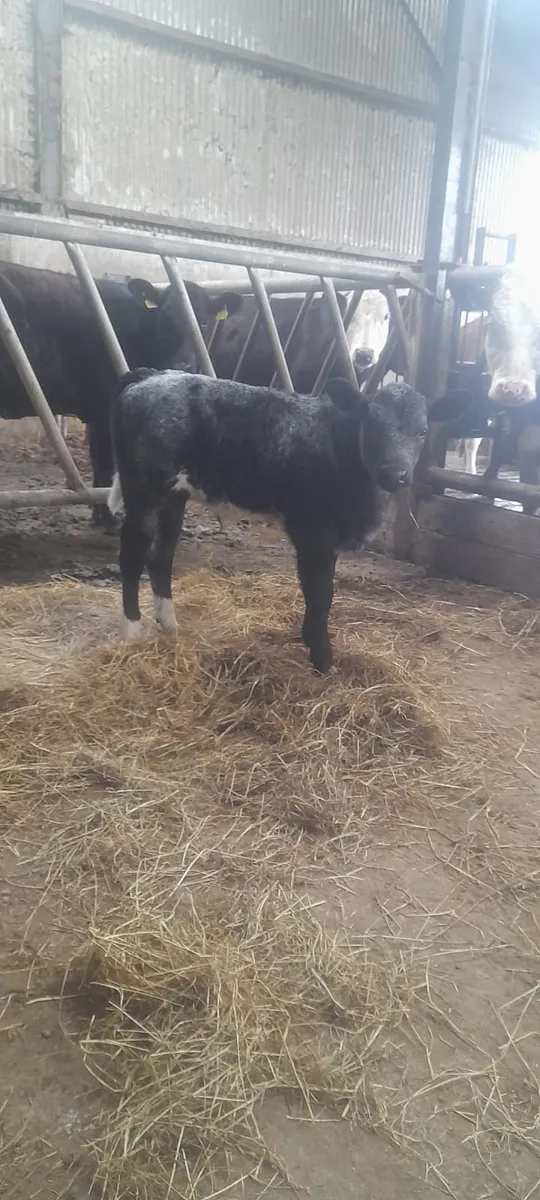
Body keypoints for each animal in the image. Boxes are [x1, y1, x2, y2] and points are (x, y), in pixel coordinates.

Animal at [0, 262, 241, 528]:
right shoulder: (105, 409)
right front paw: (106, 517)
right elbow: (105, 463)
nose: (184, 365)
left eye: (205, 323)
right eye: (165, 316)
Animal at [107, 368, 428, 674]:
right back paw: (132, 633)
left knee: (161, 556)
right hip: (143, 489)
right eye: (372, 422)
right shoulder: (312, 531)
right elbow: (320, 592)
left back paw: (170, 627)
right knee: (132, 555)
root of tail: (153, 376)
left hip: (174, 495)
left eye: (423, 431)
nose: (395, 474)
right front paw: (322, 660)